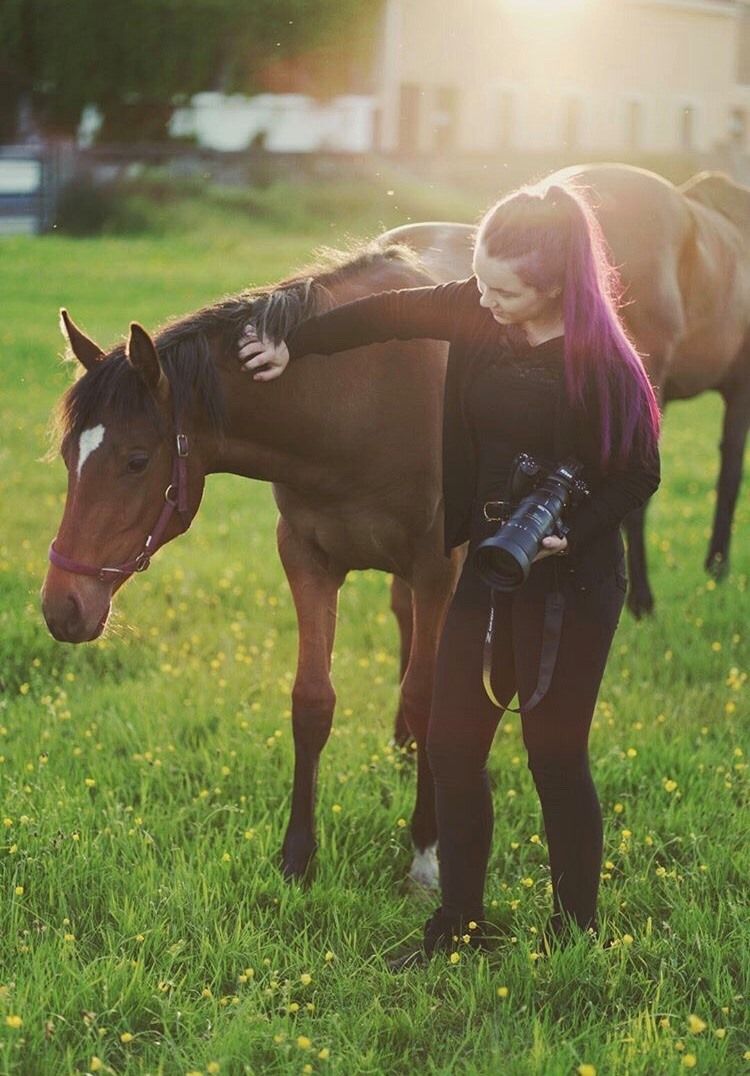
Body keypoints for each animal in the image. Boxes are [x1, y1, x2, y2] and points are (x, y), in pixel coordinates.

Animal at [41, 242, 464, 890]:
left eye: (137, 460)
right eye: (69, 455)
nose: (61, 606)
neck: (356, 402)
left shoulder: (438, 567)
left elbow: (425, 698)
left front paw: (426, 852)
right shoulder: (306, 559)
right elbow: (311, 702)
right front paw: (297, 857)